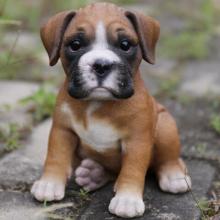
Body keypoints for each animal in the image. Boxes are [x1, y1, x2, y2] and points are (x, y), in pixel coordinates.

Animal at [30, 2, 191, 219]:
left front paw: (127, 199)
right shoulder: (62, 130)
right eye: (75, 45)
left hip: (166, 124)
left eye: (125, 45)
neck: (98, 102)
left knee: (167, 159)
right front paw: (49, 183)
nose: (101, 65)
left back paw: (174, 176)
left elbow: (132, 169)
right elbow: (56, 156)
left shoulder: (137, 141)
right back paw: (94, 174)